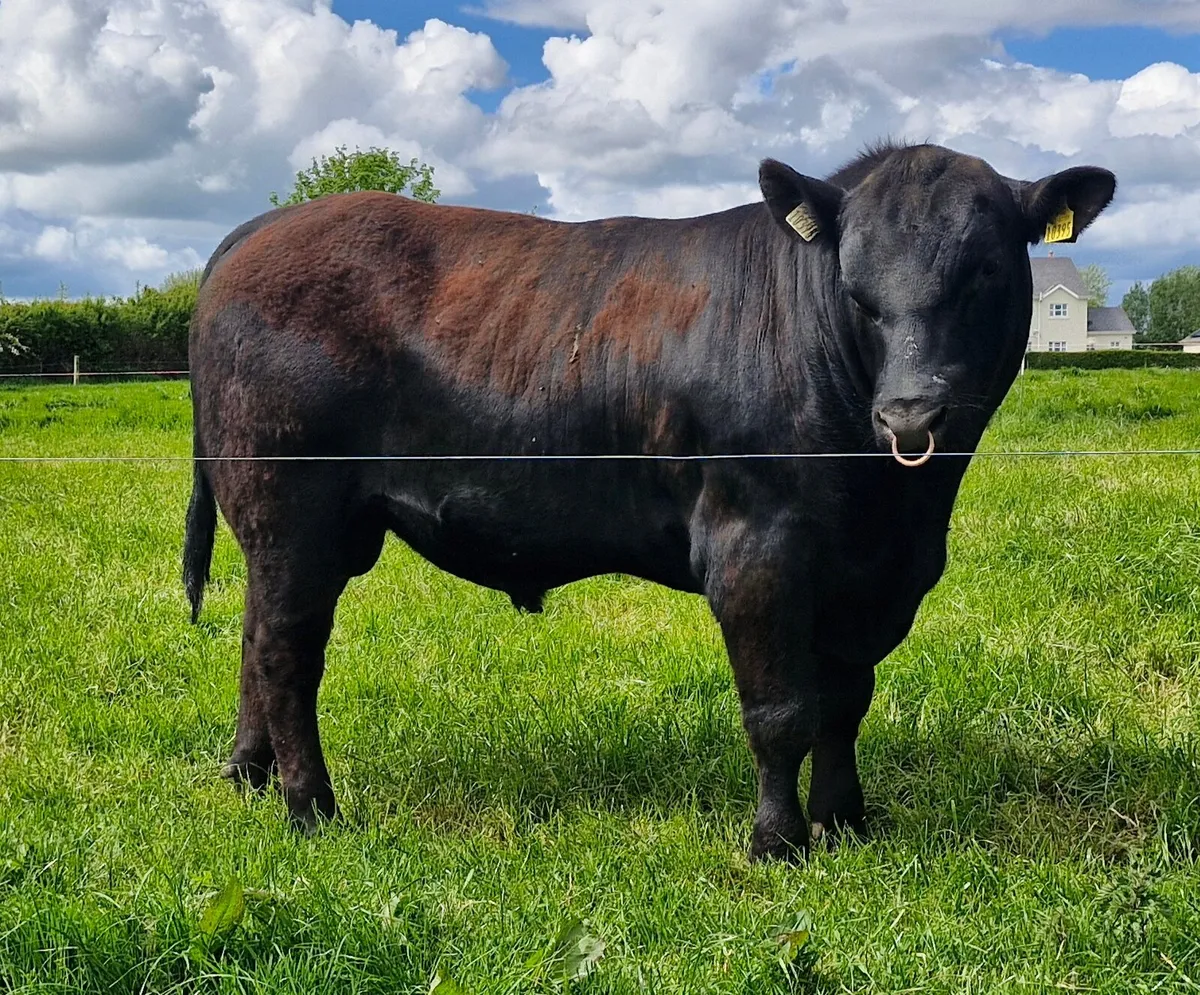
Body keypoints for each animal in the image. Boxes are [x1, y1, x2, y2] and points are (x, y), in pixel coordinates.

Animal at [183, 141, 1115, 861]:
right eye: (856, 286)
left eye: (985, 269)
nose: (912, 411)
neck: (895, 503)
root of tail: (262, 229)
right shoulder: (755, 548)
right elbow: (782, 710)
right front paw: (777, 842)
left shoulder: (872, 574)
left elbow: (846, 702)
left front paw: (845, 822)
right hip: (291, 510)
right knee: (287, 652)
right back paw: (311, 807)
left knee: (257, 635)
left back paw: (249, 773)